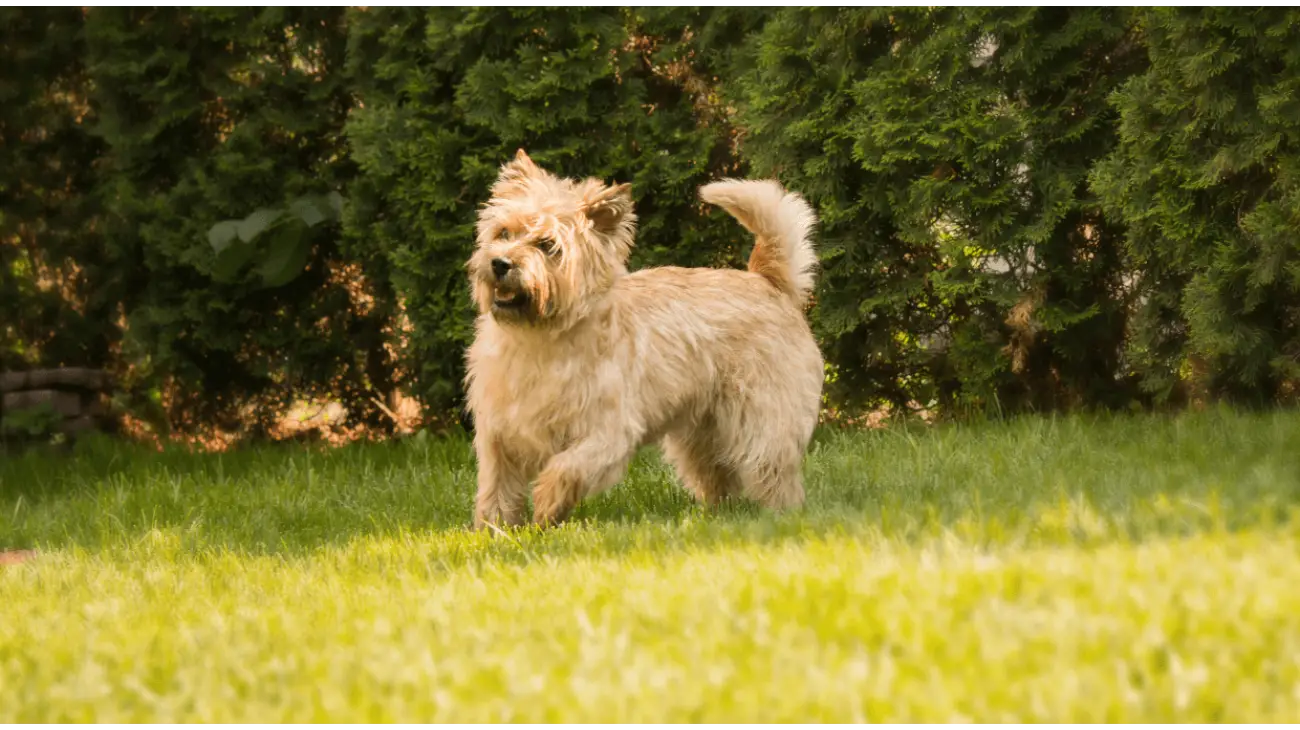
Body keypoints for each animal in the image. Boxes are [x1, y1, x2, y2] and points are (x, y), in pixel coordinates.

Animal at [462, 148, 816, 524]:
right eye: (504, 232)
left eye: (548, 245)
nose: (500, 263)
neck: (539, 338)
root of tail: (768, 280)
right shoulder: (499, 434)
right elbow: (496, 486)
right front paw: (494, 528)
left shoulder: (607, 432)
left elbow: (567, 467)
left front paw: (545, 506)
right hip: (701, 432)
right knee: (717, 474)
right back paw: (718, 514)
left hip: (763, 418)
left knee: (772, 468)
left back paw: (781, 514)